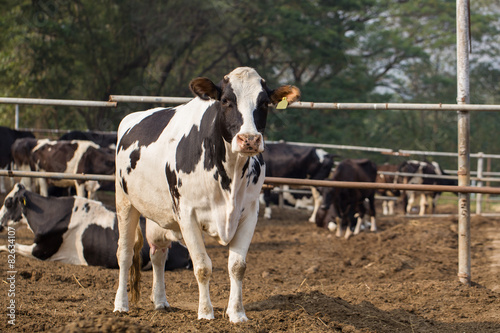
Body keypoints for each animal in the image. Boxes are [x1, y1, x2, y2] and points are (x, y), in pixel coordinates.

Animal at [114, 65, 300, 322]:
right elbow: (202, 266)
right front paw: (205, 313)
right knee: (124, 253)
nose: (249, 139)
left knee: (158, 254)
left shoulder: (249, 213)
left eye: (264, 103)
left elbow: (237, 266)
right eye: (225, 100)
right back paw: (121, 305)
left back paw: (160, 301)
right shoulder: (187, 214)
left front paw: (237, 313)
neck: (230, 174)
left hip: (158, 213)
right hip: (124, 201)